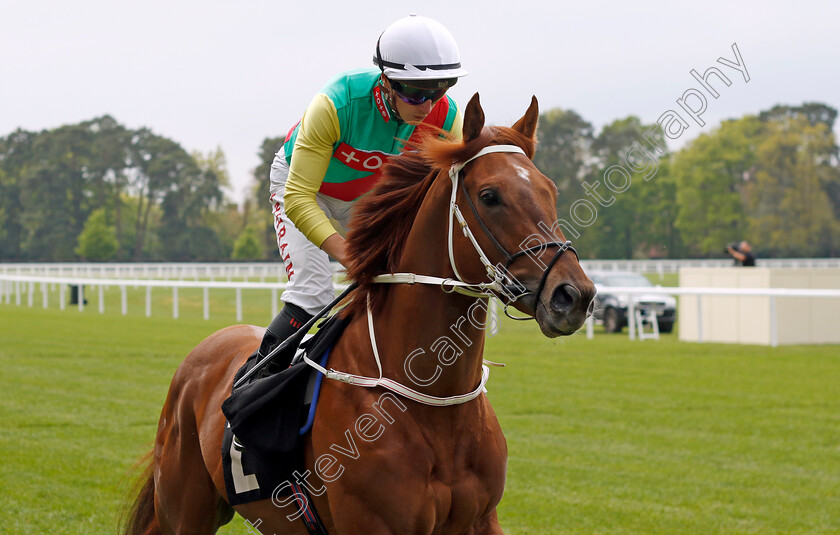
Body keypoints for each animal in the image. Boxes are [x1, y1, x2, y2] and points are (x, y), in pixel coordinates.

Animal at [124, 96, 596, 535]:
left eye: (550, 190)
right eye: (489, 196)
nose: (573, 295)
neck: (435, 403)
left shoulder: (480, 520)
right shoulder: (372, 522)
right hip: (185, 510)